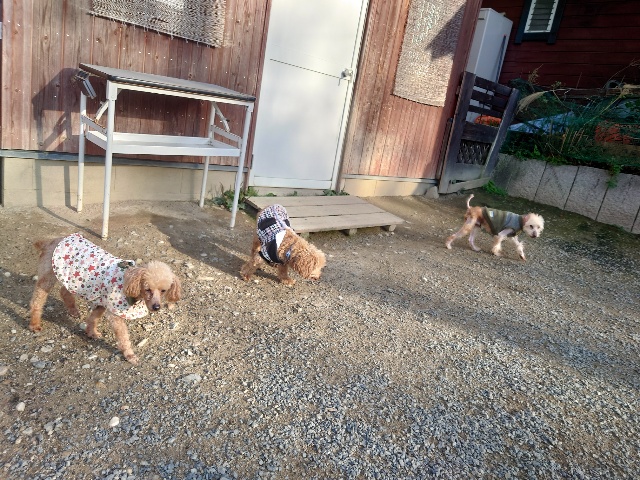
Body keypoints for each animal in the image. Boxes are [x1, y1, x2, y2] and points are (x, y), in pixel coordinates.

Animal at [28, 233, 182, 365]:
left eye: (163, 290)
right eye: (147, 289)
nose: (156, 307)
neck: (130, 280)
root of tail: (51, 241)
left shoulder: (102, 301)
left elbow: (93, 318)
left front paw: (91, 333)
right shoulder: (114, 313)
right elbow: (123, 337)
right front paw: (130, 355)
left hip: (73, 280)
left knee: (64, 291)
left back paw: (73, 311)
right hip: (47, 277)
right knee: (37, 300)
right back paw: (35, 324)